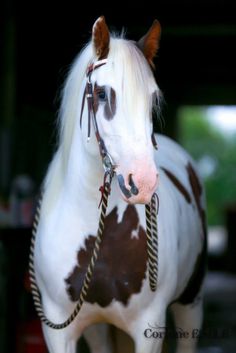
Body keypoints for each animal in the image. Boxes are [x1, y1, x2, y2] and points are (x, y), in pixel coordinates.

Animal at [33, 15, 206, 352]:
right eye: (101, 94)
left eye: (152, 99)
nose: (143, 182)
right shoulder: (58, 327)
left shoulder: (149, 327)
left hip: (190, 304)